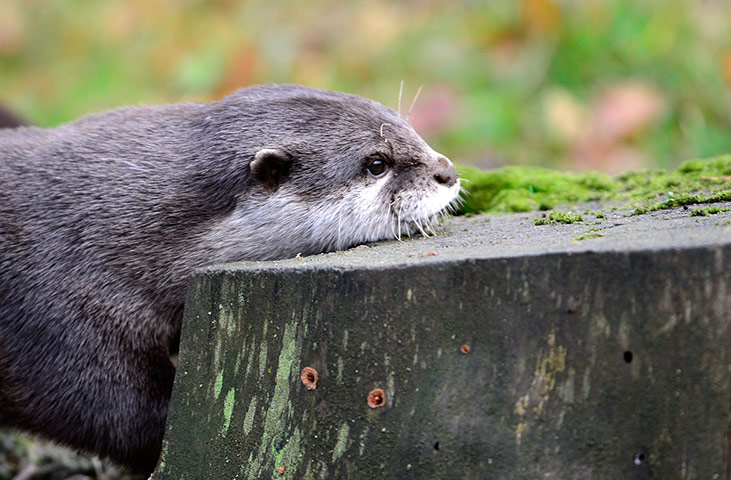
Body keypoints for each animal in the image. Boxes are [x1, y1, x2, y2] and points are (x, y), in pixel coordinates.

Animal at [0, 83, 460, 472]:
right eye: (377, 163)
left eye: (411, 129)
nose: (448, 172)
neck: (101, 229)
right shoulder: (60, 320)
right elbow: (116, 415)